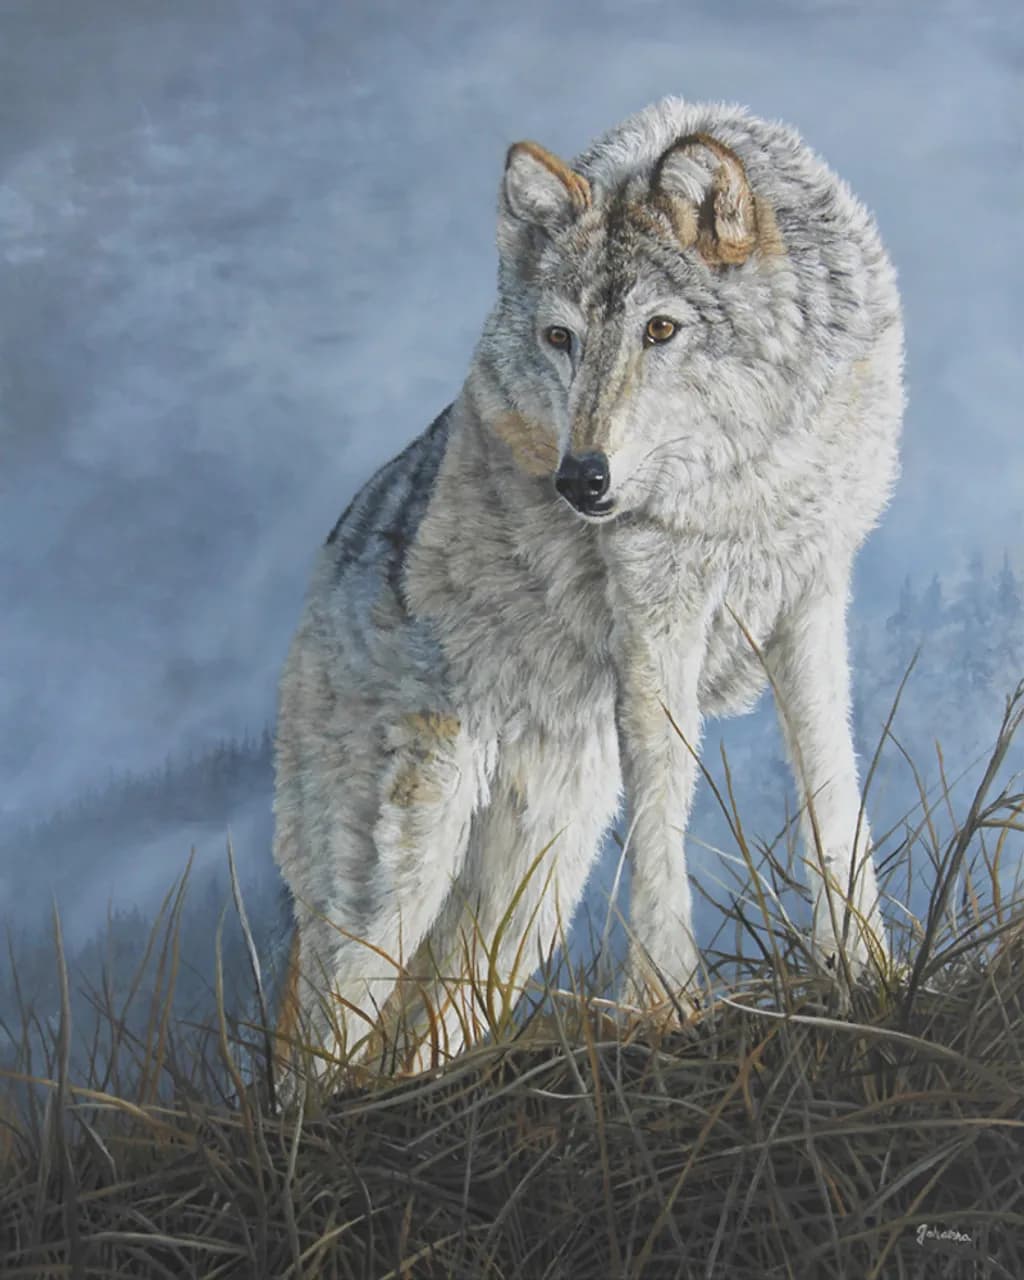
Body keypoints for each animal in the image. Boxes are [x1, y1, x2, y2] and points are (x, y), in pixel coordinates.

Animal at [272, 97, 903, 1078]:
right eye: (561, 338)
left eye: (661, 330)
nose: (582, 481)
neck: (742, 475)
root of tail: (332, 556)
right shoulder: (657, 618)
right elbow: (666, 808)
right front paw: (670, 1003)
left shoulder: (809, 599)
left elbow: (831, 788)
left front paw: (867, 970)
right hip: (397, 880)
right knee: (317, 1054)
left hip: (530, 886)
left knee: (421, 1036)